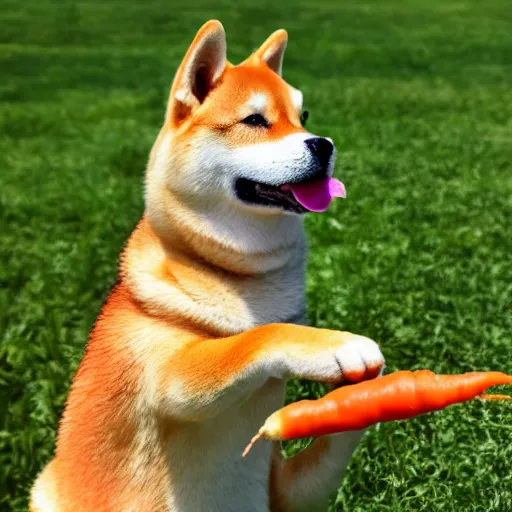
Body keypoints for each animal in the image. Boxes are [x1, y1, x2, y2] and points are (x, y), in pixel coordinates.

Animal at [31, 18, 384, 510]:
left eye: (305, 117)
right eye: (254, 120)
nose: (324, 145)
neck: (235, 275)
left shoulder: (284, 489)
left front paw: (361, 391)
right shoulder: (169, 376)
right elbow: (256, 338)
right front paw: (335, 344)